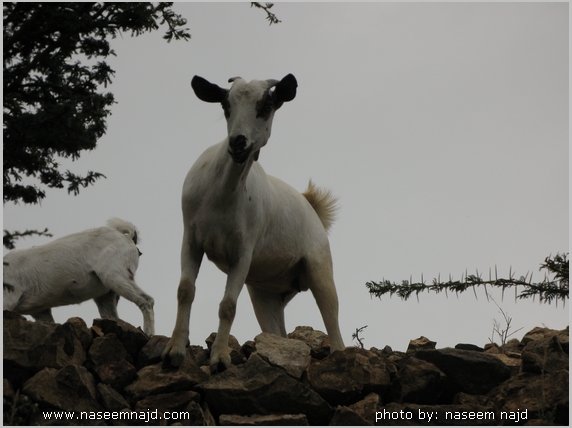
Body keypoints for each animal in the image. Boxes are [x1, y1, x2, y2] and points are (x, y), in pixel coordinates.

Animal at [2, 219, 154, 336]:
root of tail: (127, 238)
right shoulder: (40, 311)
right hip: (106, 295)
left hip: (115, 276)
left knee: (147, 301)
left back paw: (149, 334)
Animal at [163, 73, 346, 372]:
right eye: (226, 104)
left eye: (267, 105)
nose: (238, 142)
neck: (220, 196)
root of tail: (311, 206)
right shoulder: (190, 239)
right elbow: (185, 290)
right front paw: (173, 352)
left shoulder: (243, 251)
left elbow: (228, 305)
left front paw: (220, 359)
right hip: (266, 294)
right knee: (277, 333)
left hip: (319, 267)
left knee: (334, 323)